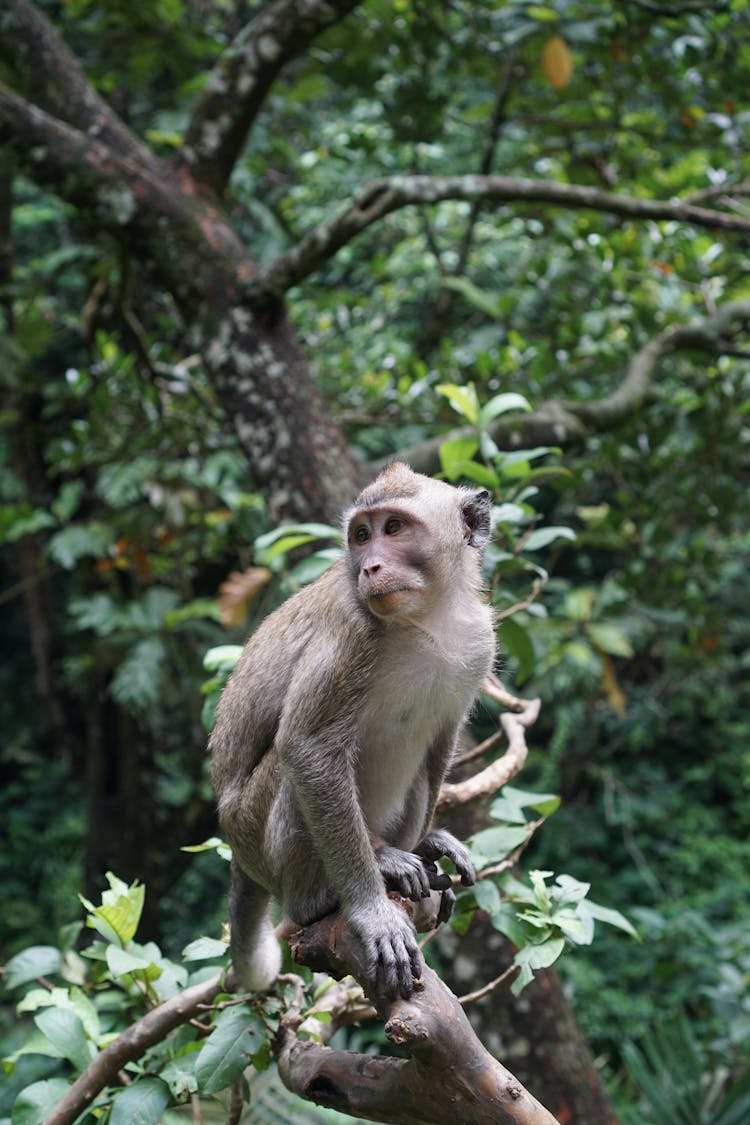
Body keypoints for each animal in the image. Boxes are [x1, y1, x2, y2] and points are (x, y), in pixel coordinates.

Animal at [208, 461, 494, 1008]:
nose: (370, 567)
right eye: (362, 536)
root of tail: (238, 855)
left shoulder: (479, 643)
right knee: (290, 769)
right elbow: (309, 750)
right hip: (257, 836)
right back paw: (335, 888)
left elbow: (440, 746)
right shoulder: (349, 629)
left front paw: (426, 849)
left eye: (394, 528)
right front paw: (372, 912)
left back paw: (411, 850)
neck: (425, 617)